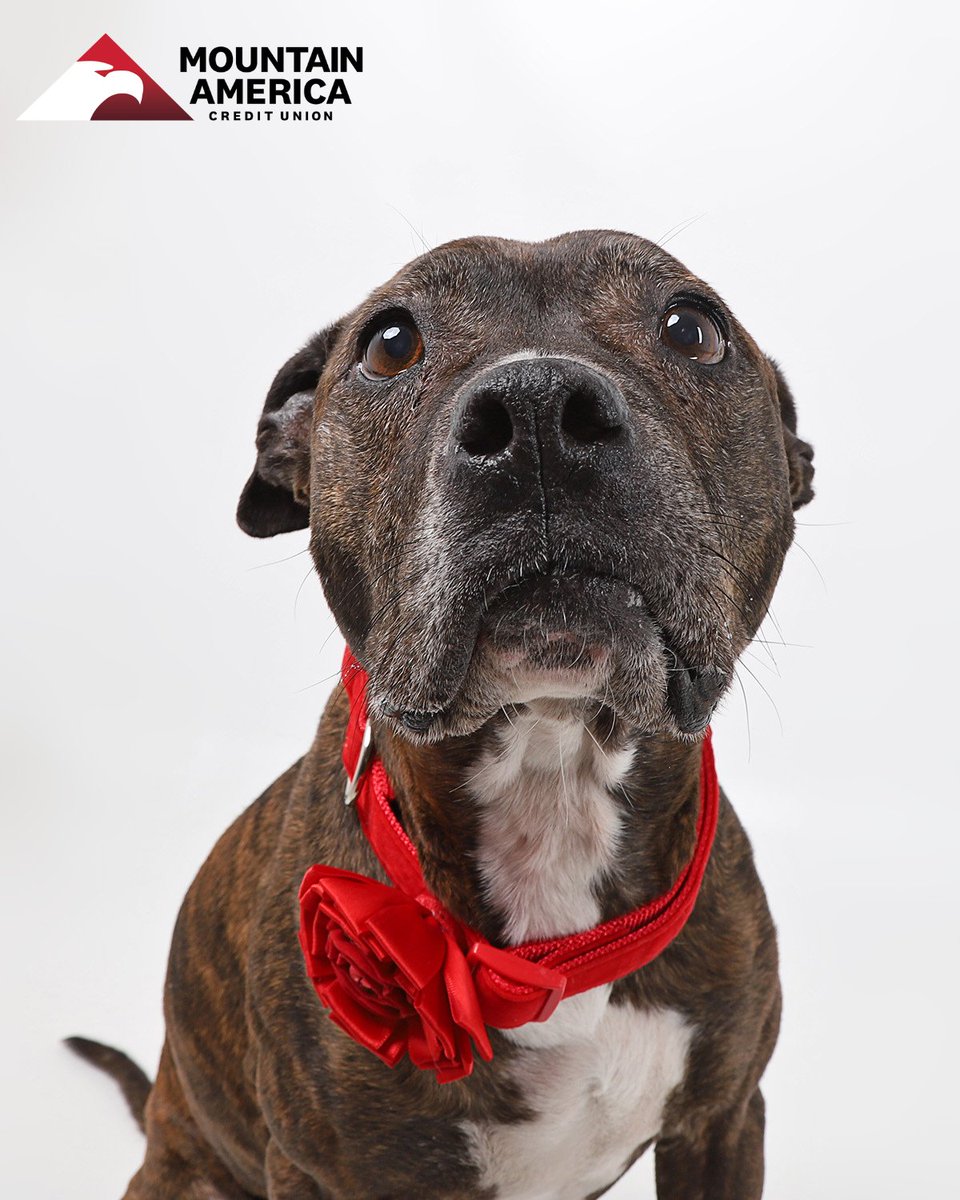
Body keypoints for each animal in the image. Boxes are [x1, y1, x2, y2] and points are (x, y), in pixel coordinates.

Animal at [69, 234, 816, 1200]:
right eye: (391, 343)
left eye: (693, 328)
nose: (538, 408)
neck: (551, 776)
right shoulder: (316, 1171)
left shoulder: (724, 1120)